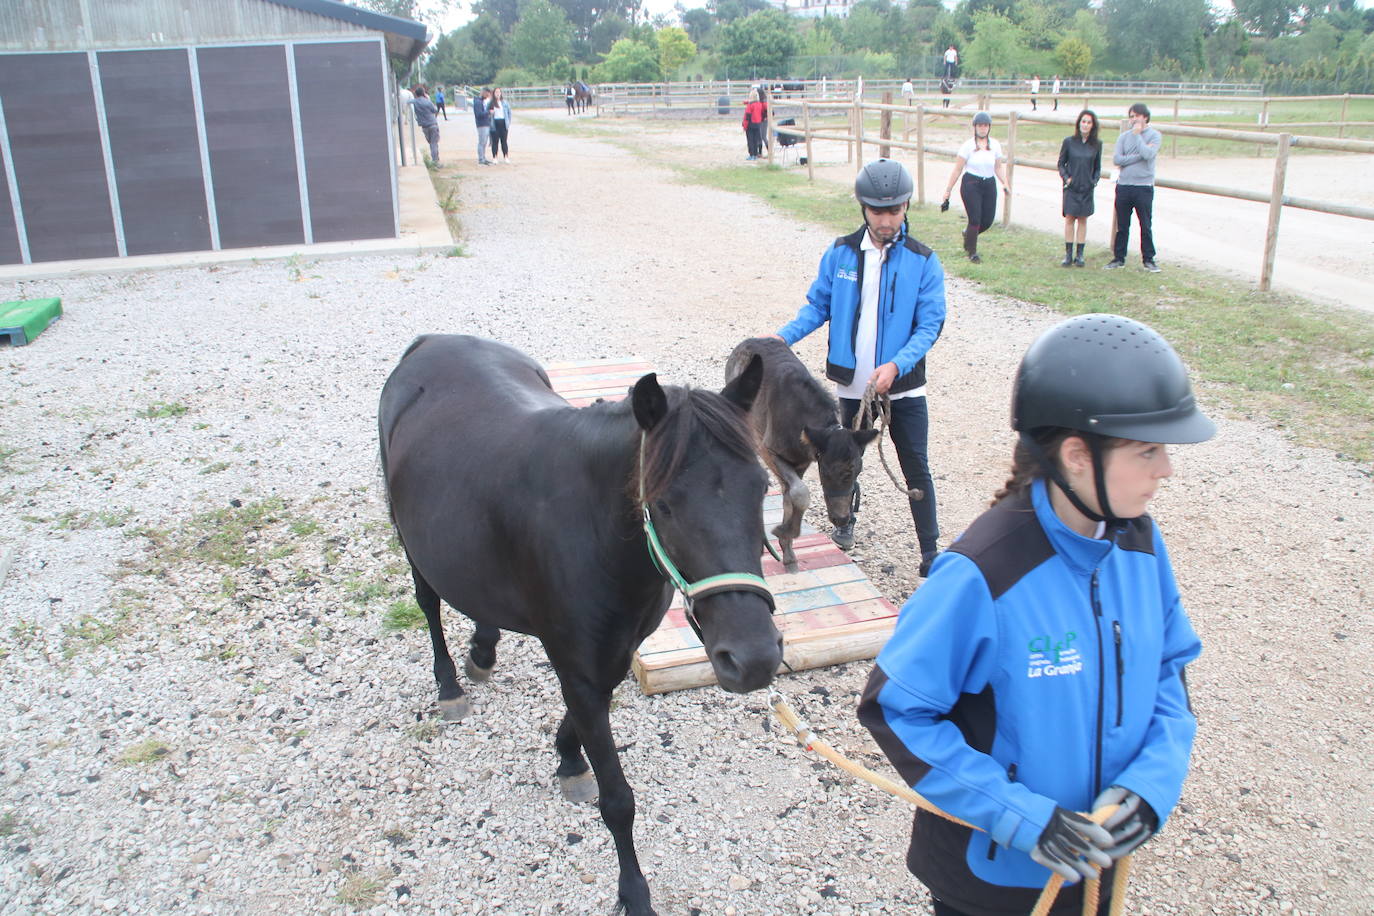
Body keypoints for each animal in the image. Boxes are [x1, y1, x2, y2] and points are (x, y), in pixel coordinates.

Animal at [376, 336, 785, 916]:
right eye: (662, 504)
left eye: (761, 488)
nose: (753, 659)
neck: (594, 531)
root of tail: (431, 342)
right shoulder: (578, 662)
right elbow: (618, 800)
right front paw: (634, 893)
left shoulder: (612, 652)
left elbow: (583, 717)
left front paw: (568, 757)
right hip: (412, 542)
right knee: (428, 602)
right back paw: (450, 684)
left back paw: (483, 649)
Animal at [725, 335, 873, 565]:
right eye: (826, 472)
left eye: (858, 471)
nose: (841, 519)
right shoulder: (767, 449)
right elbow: (800, 492)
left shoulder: (802, 462)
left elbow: (791, 494)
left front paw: (787, 547)